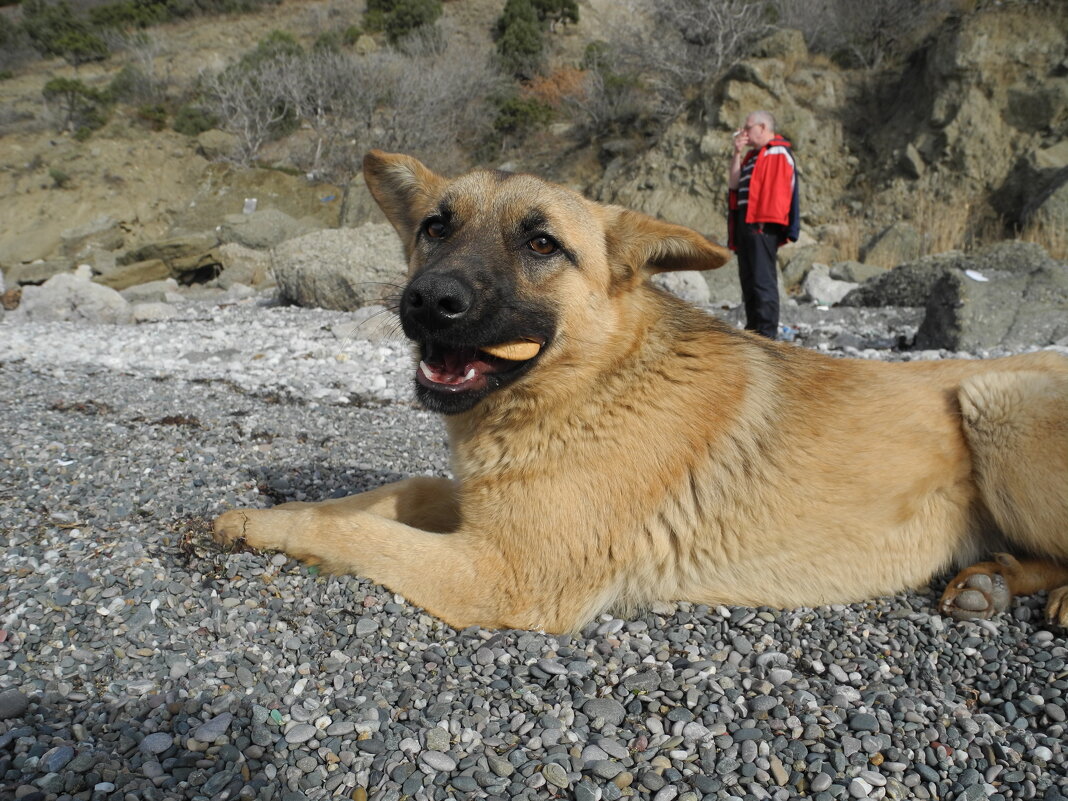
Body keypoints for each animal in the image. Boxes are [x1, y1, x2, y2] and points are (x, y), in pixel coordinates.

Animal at [210, 147, 1068, 632]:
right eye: (435, 226)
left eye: (541, 243)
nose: (426, 301)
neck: (590, 383)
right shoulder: (484, 511)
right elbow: (391, 494)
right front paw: (260, 513)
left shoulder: (504, 574)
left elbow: (361, 535)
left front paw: (274, 529)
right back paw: (992, 583)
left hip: (997, 400)